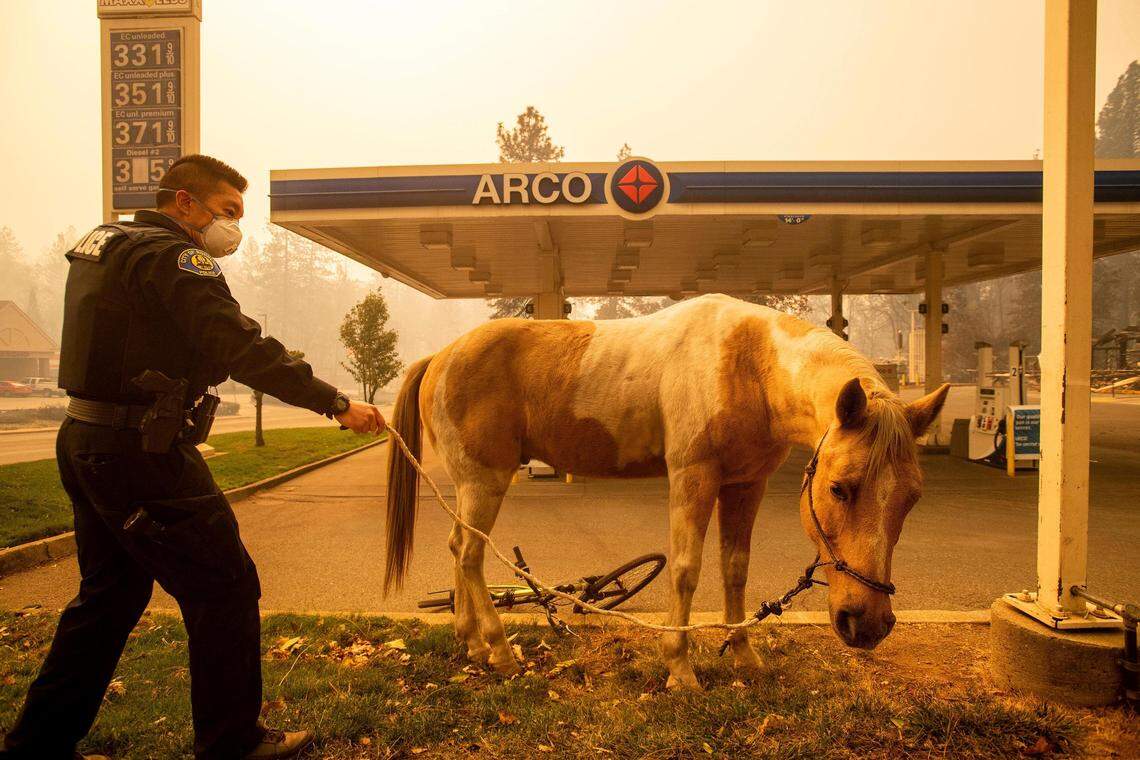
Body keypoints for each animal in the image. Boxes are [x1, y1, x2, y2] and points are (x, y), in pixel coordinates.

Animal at [383, 293, 949, 689]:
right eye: (839, 488)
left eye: (913, 497)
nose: (867, 623)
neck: (747, 363)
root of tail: (440, 357)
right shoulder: (693, 477)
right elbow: (685, 569)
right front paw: (680, 668)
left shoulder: (745, 484)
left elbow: (735, 569)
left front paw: (744, 655)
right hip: (485, 481)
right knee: (472, 555)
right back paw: (499, 651)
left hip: (470, 487)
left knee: (459, 550)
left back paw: (472, 645)